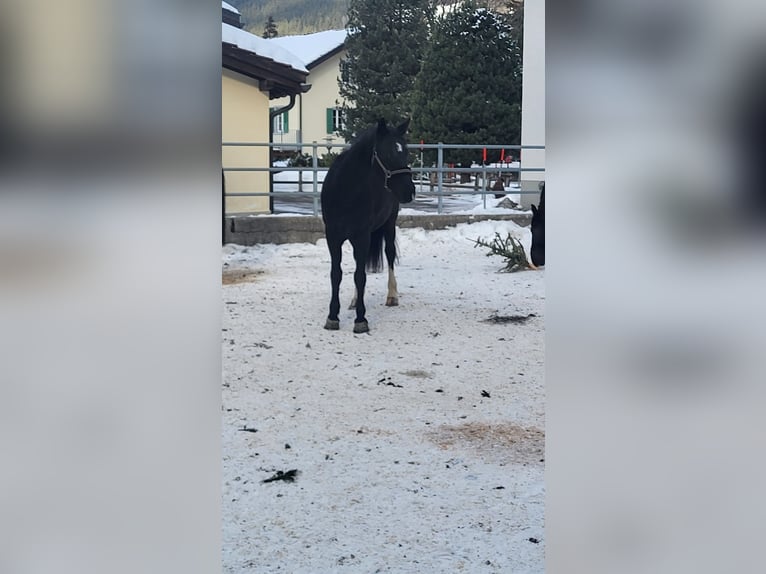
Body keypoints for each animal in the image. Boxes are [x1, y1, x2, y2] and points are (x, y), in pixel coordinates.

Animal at [320, 120, 416, 336]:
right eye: (388, 153)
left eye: (406, 152)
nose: (410, 191)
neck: (346, 192)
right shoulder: (333, 237)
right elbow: (336, 274)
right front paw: (332, 317)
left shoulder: (361, 236)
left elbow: (360, 276)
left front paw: (361, 320)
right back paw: (355, 300)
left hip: (389, 225)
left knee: (389, 254)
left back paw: (392, 295)